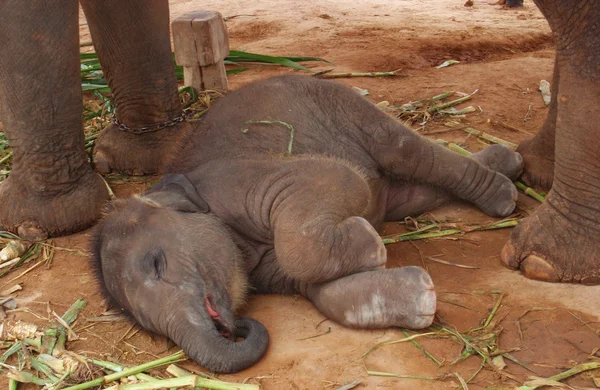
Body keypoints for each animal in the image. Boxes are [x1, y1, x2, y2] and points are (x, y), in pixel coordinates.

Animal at [91, 75, 524, 372]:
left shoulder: (242, 179)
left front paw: (370, 242)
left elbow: (337, 180)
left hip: (342, 105)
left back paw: (505, 192)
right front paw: (421, 297)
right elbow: (313, 288)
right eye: (145, 325)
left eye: (156, 264)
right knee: (413, 191)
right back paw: (508, 164)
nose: (238, 327)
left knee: (407, 152)